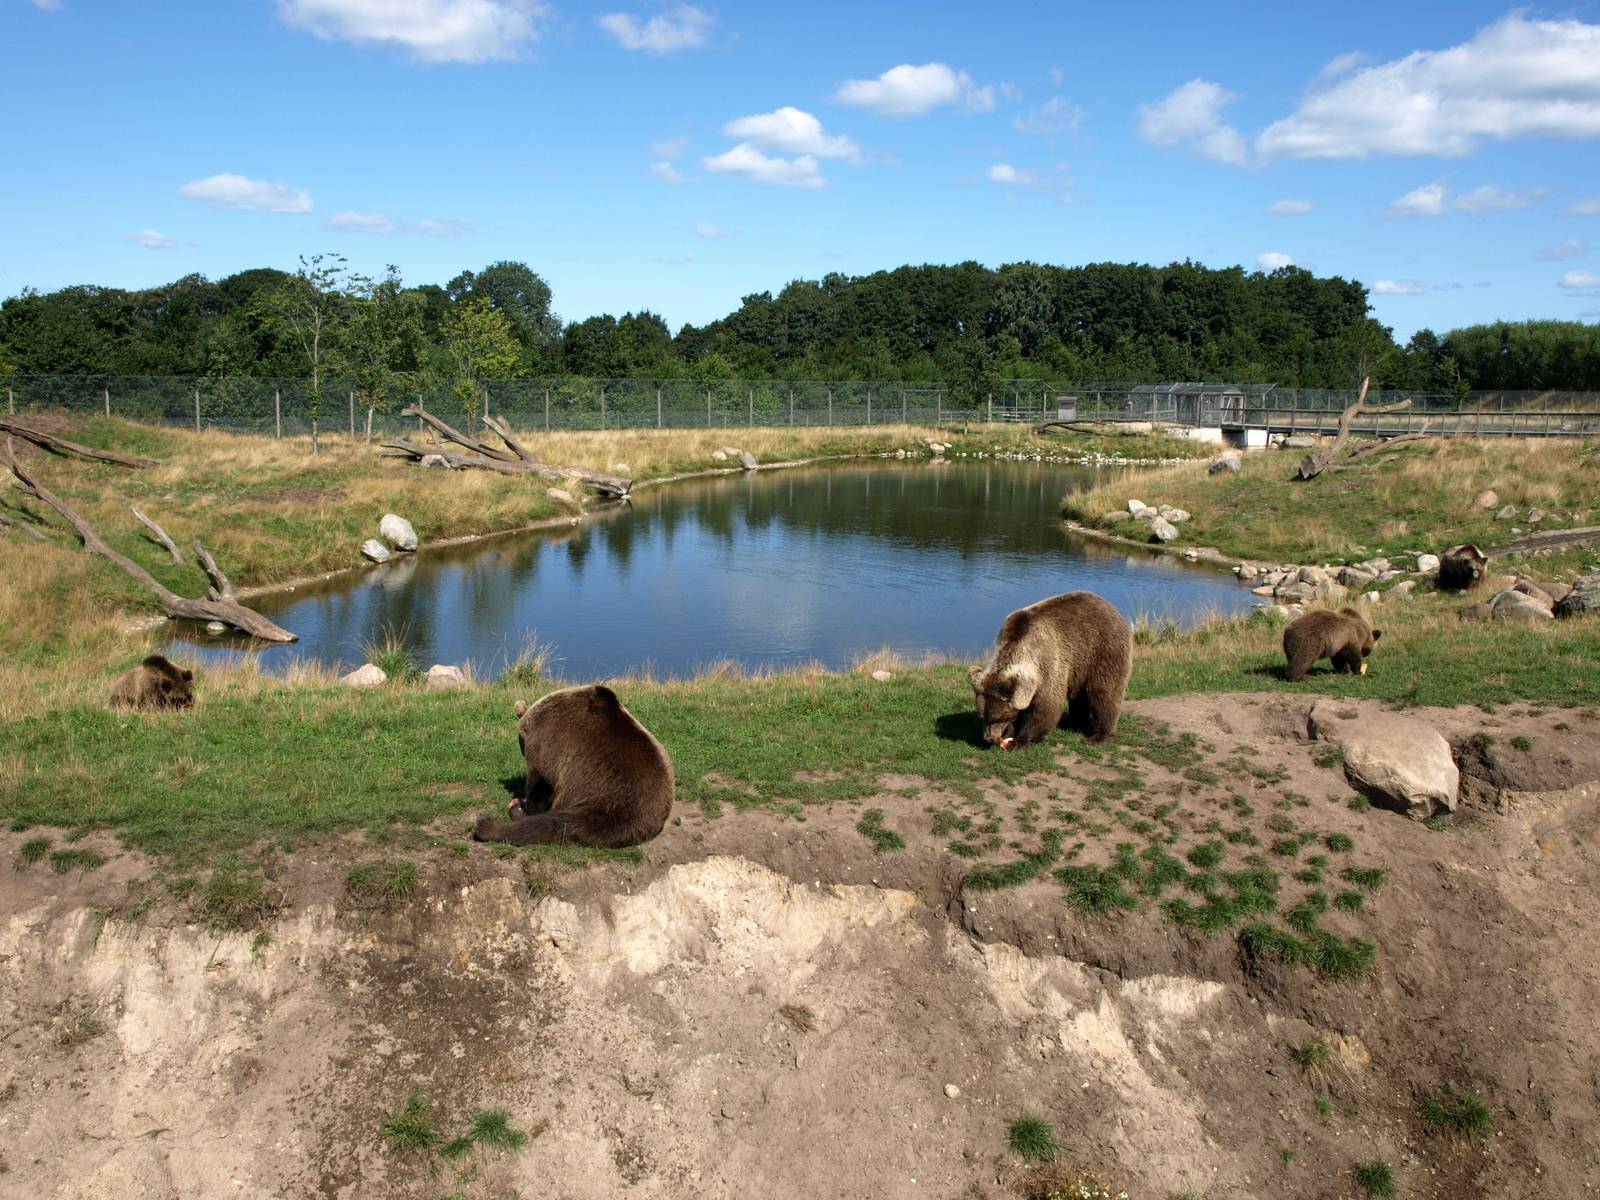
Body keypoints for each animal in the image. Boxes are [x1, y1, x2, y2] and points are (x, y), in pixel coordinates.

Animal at [472, 684, 674, 848]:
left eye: (520, 741)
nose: (521, 750)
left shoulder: (548, 745)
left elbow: (540, 784)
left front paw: (526, 805)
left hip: (598, 800)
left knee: (557, 824)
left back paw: (499, 820)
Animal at [968, 591, 1132, 749]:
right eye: (982, 717)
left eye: (997, 718)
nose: (988, 738)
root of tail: (1110, 606)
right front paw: (1009, 731)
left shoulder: (1047, 665)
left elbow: (1046, 708)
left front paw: (1019, 741)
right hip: (1078, 667)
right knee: (1077, 696)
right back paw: (1070, 721)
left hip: (1102, 649)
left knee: (1104, 691)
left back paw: (1099, 736)